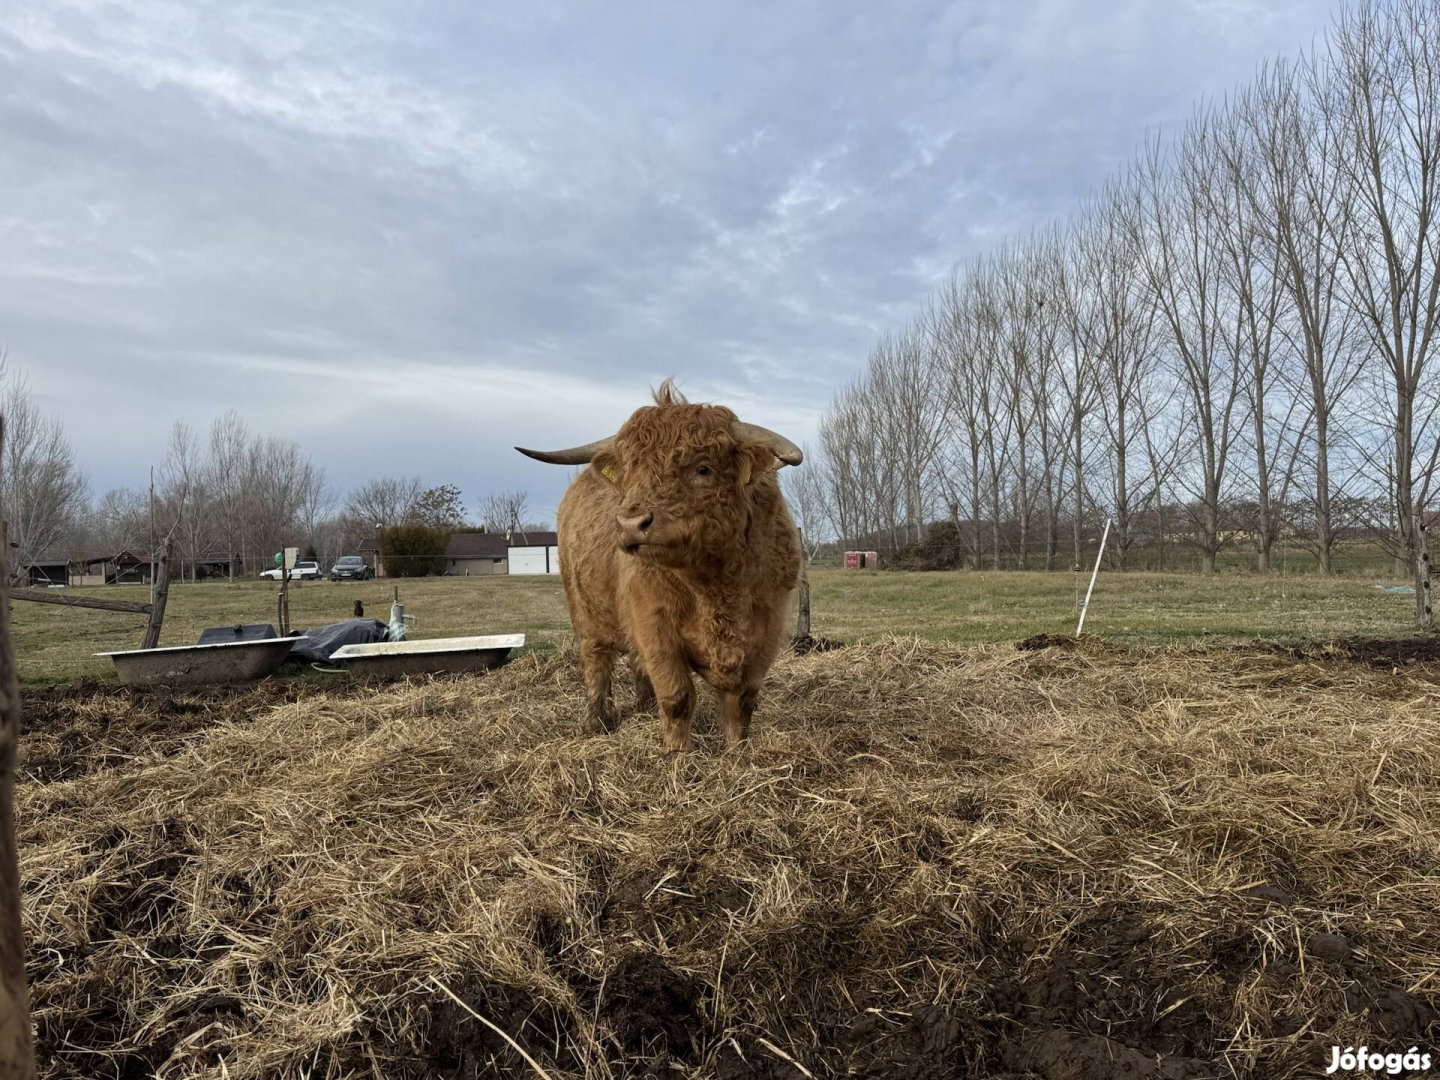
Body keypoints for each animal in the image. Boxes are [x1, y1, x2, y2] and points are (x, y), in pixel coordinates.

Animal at [518, 383, 806, 754]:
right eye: (630, 472)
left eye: (703, 469)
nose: (630, 524)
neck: (716, 586)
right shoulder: (654, 625)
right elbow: (677, 698)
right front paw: (678, 755)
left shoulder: (767, 628)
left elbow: (742, 702)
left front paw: (737, 752)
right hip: (586, 614)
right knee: (597, 664)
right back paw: (595, 722)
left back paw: (642, 705)